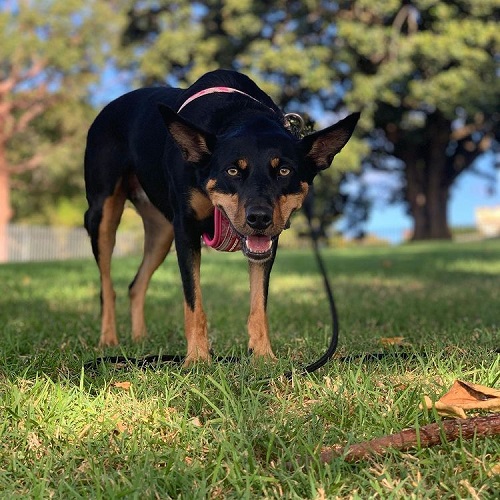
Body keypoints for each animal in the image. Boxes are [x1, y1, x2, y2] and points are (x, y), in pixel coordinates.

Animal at [86, 69, 360, 364]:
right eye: (232, 171)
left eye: (284, 171)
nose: (259, 218)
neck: (239, 114)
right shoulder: (186, 230)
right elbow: (194, 303)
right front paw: (197, 359)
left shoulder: (267, 244)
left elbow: (258, 305)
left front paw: (263, 357)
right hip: (102, 216)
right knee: (107, 286)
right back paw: (109, 340)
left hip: (161, 232)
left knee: (136, 284)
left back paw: (140, 339)